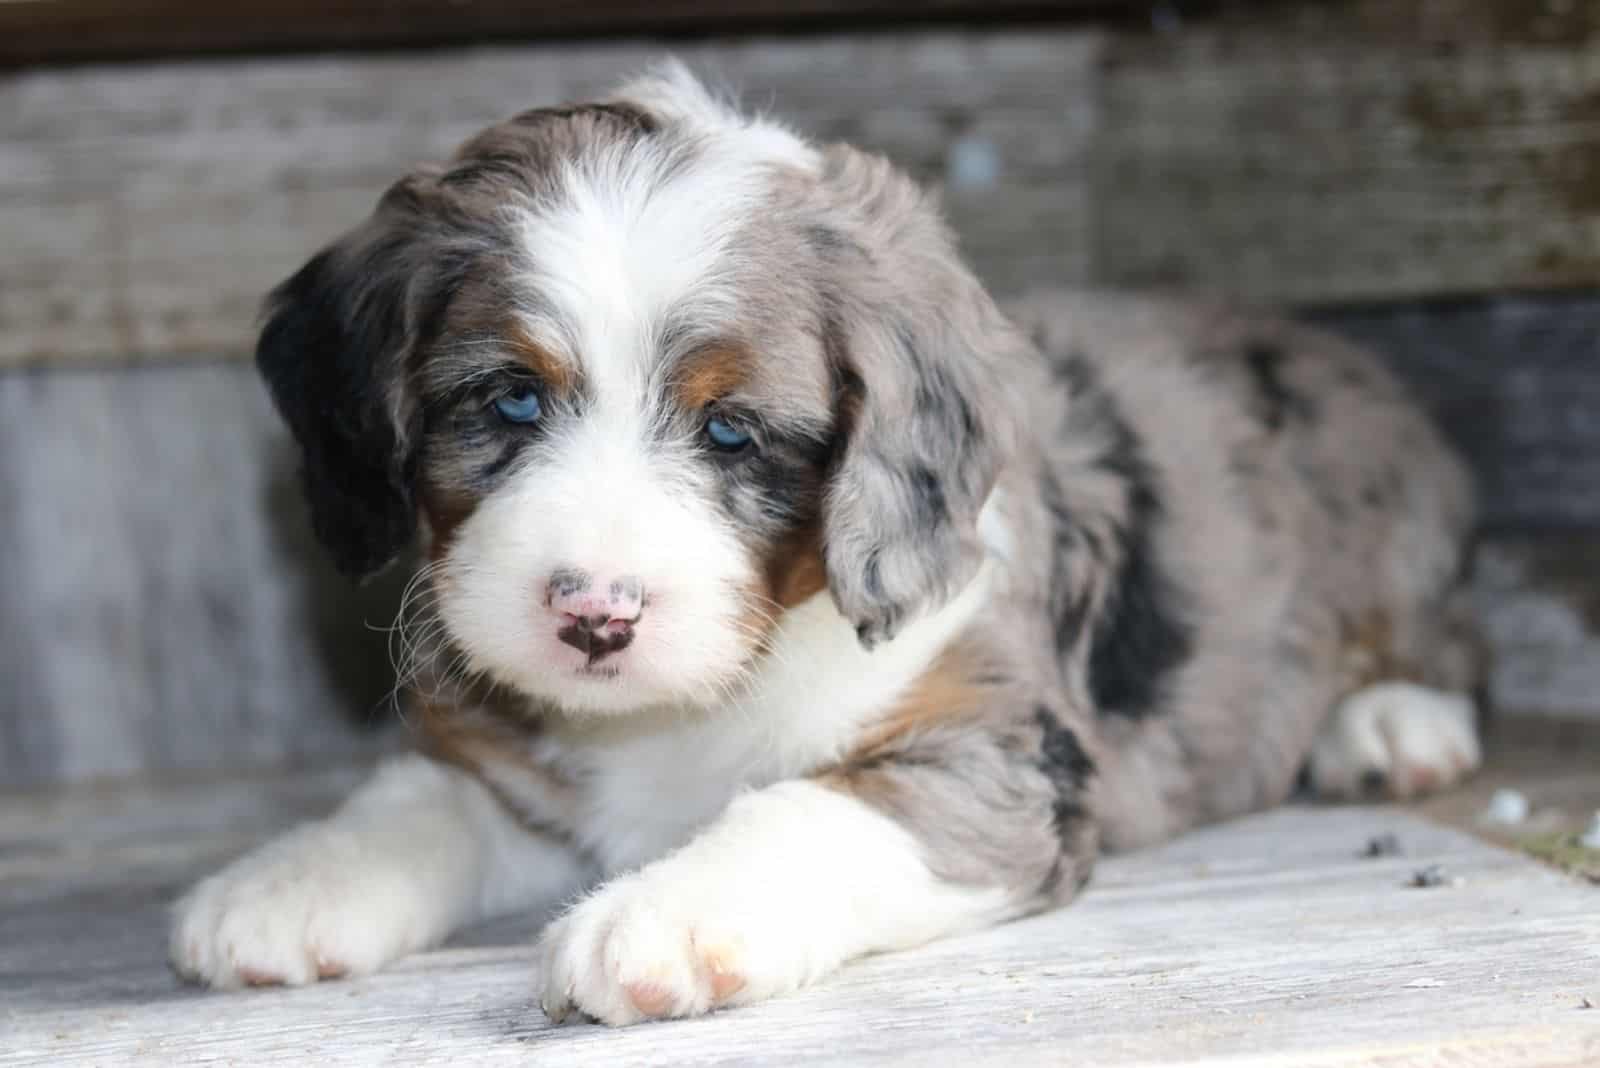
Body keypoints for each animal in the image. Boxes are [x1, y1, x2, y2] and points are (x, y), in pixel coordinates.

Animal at [168, 60, 1478, 1023]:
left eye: (732, 430)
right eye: (511, 401)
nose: (593, 616)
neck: (691, 704)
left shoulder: (1000, 758)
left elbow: (811, 808)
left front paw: (662, 921)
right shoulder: (511, 751)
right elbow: (421, 796)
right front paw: (284, 886)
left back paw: (1391, 725)